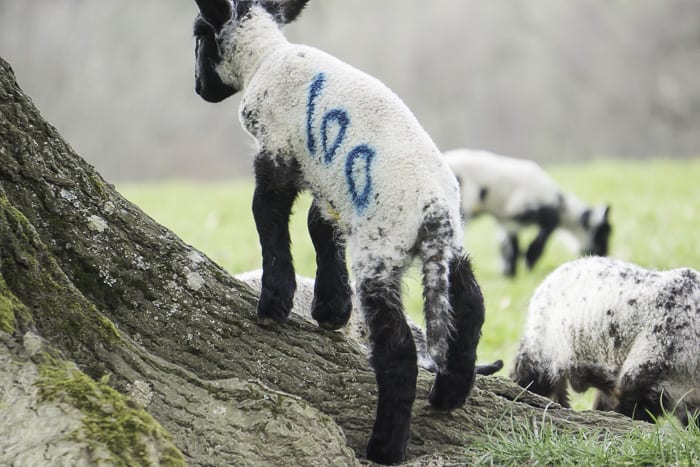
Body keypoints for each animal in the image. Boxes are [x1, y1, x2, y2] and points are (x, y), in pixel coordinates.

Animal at [191, 0, 486, 462]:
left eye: (199, 37)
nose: (198, 88)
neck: (266, 57)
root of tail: (435, 212)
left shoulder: (276, 152)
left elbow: (268, 219)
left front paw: (274, 304)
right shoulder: (328, 183)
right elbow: (319, 228)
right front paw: (331, 310)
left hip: (379, 249)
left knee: (398, 351)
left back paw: (385, 446)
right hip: (449, 245)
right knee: (470, 302)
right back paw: (449, 395)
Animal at [442, 148, 612, 276]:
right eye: (602, 235)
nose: (605, 254)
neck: (560, 201)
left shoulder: (507, 221)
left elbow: (510, 248)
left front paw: (509, 273)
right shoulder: (523, 208)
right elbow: (547, 228)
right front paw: (530, 259)